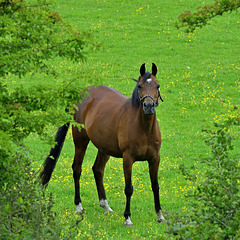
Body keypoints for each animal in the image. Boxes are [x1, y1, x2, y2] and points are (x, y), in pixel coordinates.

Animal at [40, 62, 165, 226]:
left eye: (157, 86)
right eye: (140, 86)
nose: (149, 106)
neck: (144, 129)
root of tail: (83, 92)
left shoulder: (155, 158)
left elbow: (155, 186)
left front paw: (160, 215)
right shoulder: (128, 159)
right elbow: (128, 188)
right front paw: (127, 218)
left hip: (104, 148)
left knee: (98, 169)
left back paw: (105, 205)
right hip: (81, 141)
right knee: (77, 169)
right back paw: (79, 206)